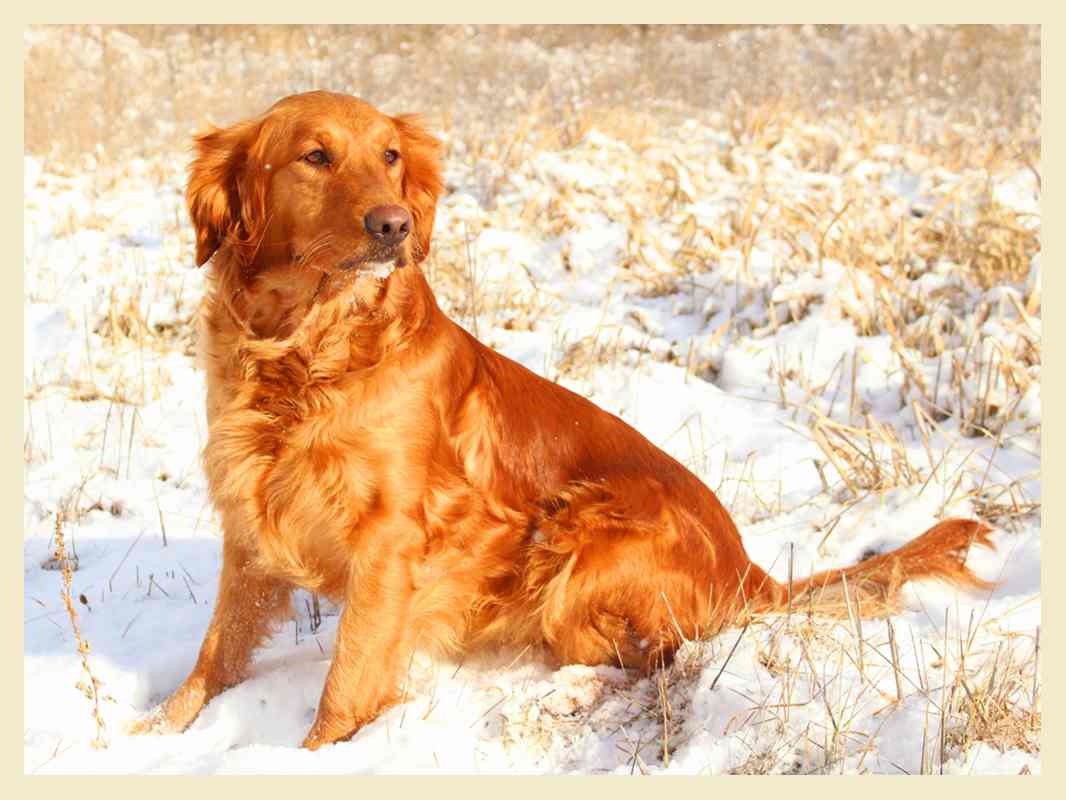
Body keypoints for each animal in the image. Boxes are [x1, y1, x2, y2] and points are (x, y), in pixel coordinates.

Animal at [128, 92, 993, 750]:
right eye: (316, 156)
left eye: (391, 156)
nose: (394, 225)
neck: (307, 349)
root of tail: (748, 568)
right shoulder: (251, 523)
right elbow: (213, 656)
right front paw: (154, 736)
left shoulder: (389, 539)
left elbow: (346, 681)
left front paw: (317, 758)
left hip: (582, 537)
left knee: (654, 659)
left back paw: (565, 695)